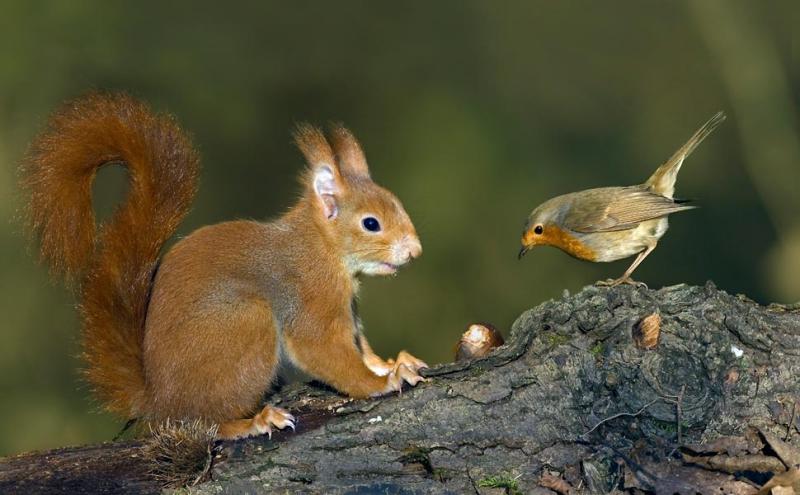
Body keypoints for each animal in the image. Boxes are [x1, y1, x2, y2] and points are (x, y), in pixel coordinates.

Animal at [21, 94, 428, 442]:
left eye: (395, 202)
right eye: (371, 223)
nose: (415, 251)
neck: (323, 247)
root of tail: (159, 401)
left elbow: (361, 346)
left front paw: (394, 363)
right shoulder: (311, 297)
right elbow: (326, 353)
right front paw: (381, 383)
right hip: (245, 323)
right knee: (206, 422)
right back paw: (253, 422)